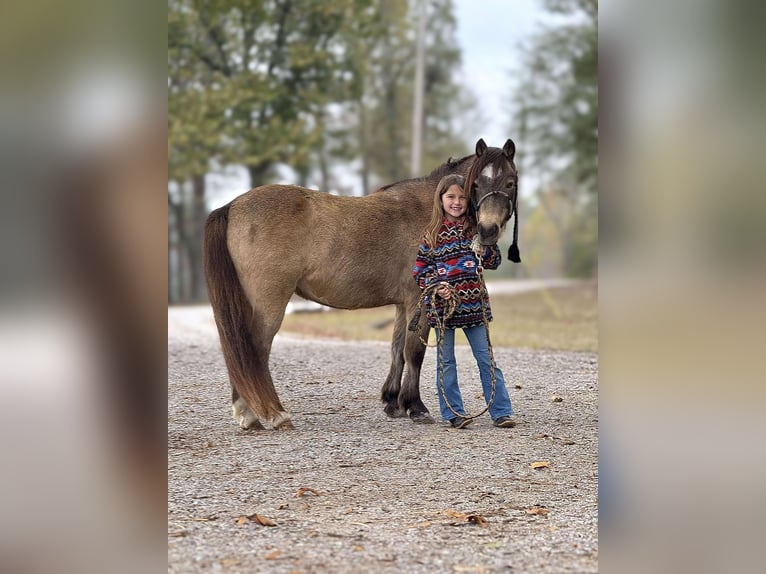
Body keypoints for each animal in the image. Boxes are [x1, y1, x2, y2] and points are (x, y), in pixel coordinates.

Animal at [202, 137, 520, 430]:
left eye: (510, 182)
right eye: (475, 184)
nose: (487, 230)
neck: (430, 210)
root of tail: (232, 206)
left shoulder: (403, 305)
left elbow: (397, 349)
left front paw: (393, 403)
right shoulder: (419, 298)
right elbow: (414, 353)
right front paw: (416, 407)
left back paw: (249, 414)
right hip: (270, 302)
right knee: (255, 349)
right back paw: (273, 414)